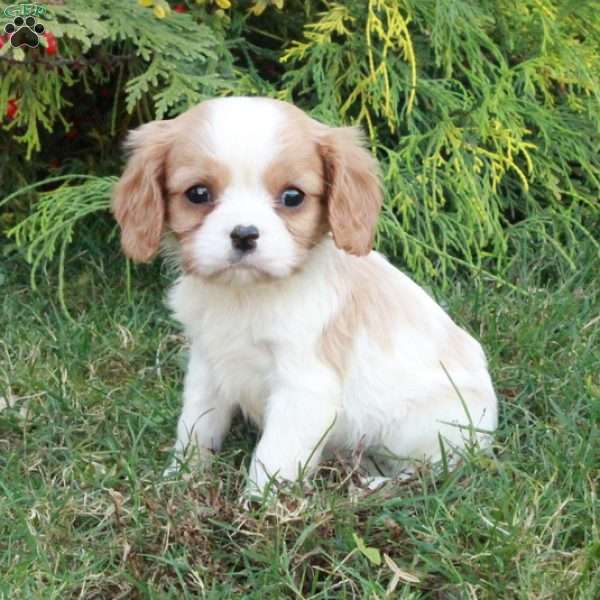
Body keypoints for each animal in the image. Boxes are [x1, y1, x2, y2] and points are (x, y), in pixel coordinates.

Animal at [111, 96, 496, 494]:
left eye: (292, 197)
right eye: (198, 194)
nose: (244, 234)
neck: (246, 295)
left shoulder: (303, 387)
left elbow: (273, 455)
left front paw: (258, 504)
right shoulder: (208, 365)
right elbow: (196, 426)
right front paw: (180, 477)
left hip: (428, 431)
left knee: (434, 469)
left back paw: (373, 485)